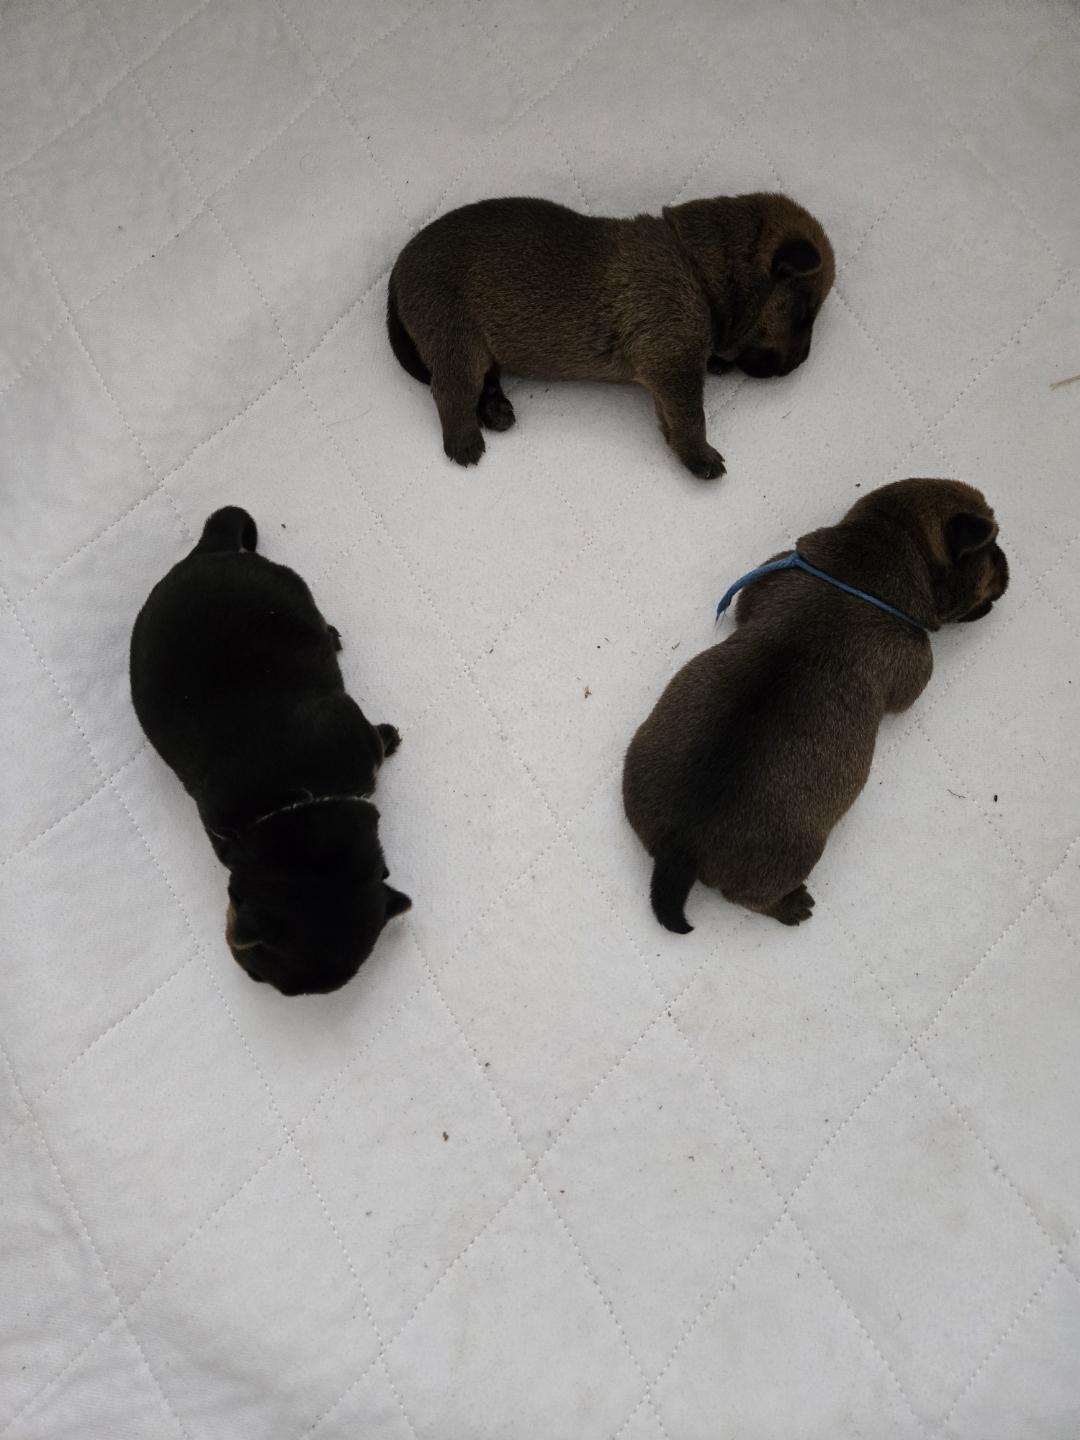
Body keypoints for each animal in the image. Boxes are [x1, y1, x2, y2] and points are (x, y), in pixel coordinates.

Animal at [387, 192, 834, 479]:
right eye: (804, 314)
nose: (800, 365)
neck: (697, 268)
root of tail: (399, 264)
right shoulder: (672, 364)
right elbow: (691, 416)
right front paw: (701, 457)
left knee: (483, 380)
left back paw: (495, 409)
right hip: (457, 336)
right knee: (451, 390)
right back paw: (464, 441)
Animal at [622, 479, 1009, 932]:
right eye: (992, 548)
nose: (1007, 562)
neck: (881, 551)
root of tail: (679, 850)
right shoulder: (916, 665)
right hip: (791, 861)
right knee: (749, 899)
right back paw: (791, 906)